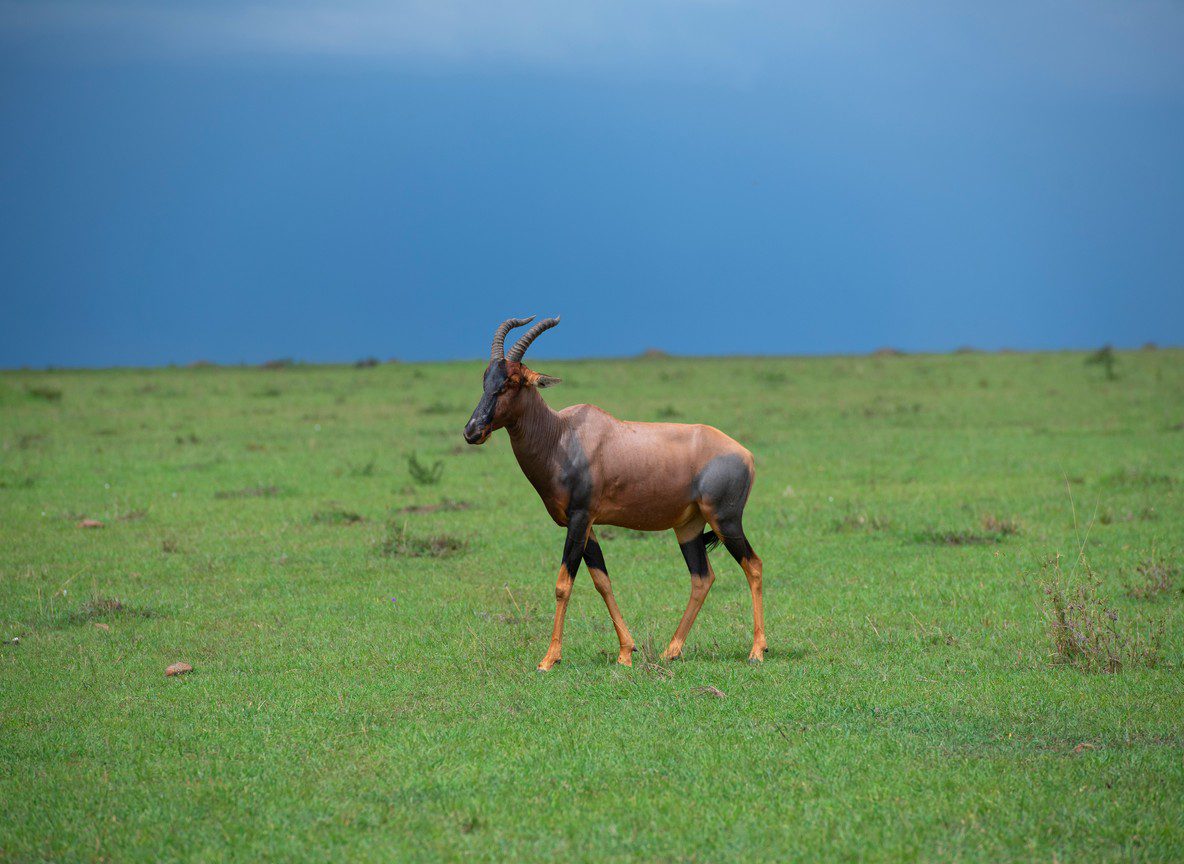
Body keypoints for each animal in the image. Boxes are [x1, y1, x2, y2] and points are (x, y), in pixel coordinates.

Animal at [464, 316, 766, 671]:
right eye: (486, 378)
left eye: (512, 381)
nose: (472, 431)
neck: (563, 435)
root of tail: (746, 454)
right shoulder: (586, 524)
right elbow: (602, 581)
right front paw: (625, 652)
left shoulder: (580, 517)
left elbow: (563, 584)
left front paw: (549, 659)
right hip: (688, 527)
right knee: (702, 577)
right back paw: (671, 650)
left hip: (725, 520)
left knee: (753, 565)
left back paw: (757, 650)